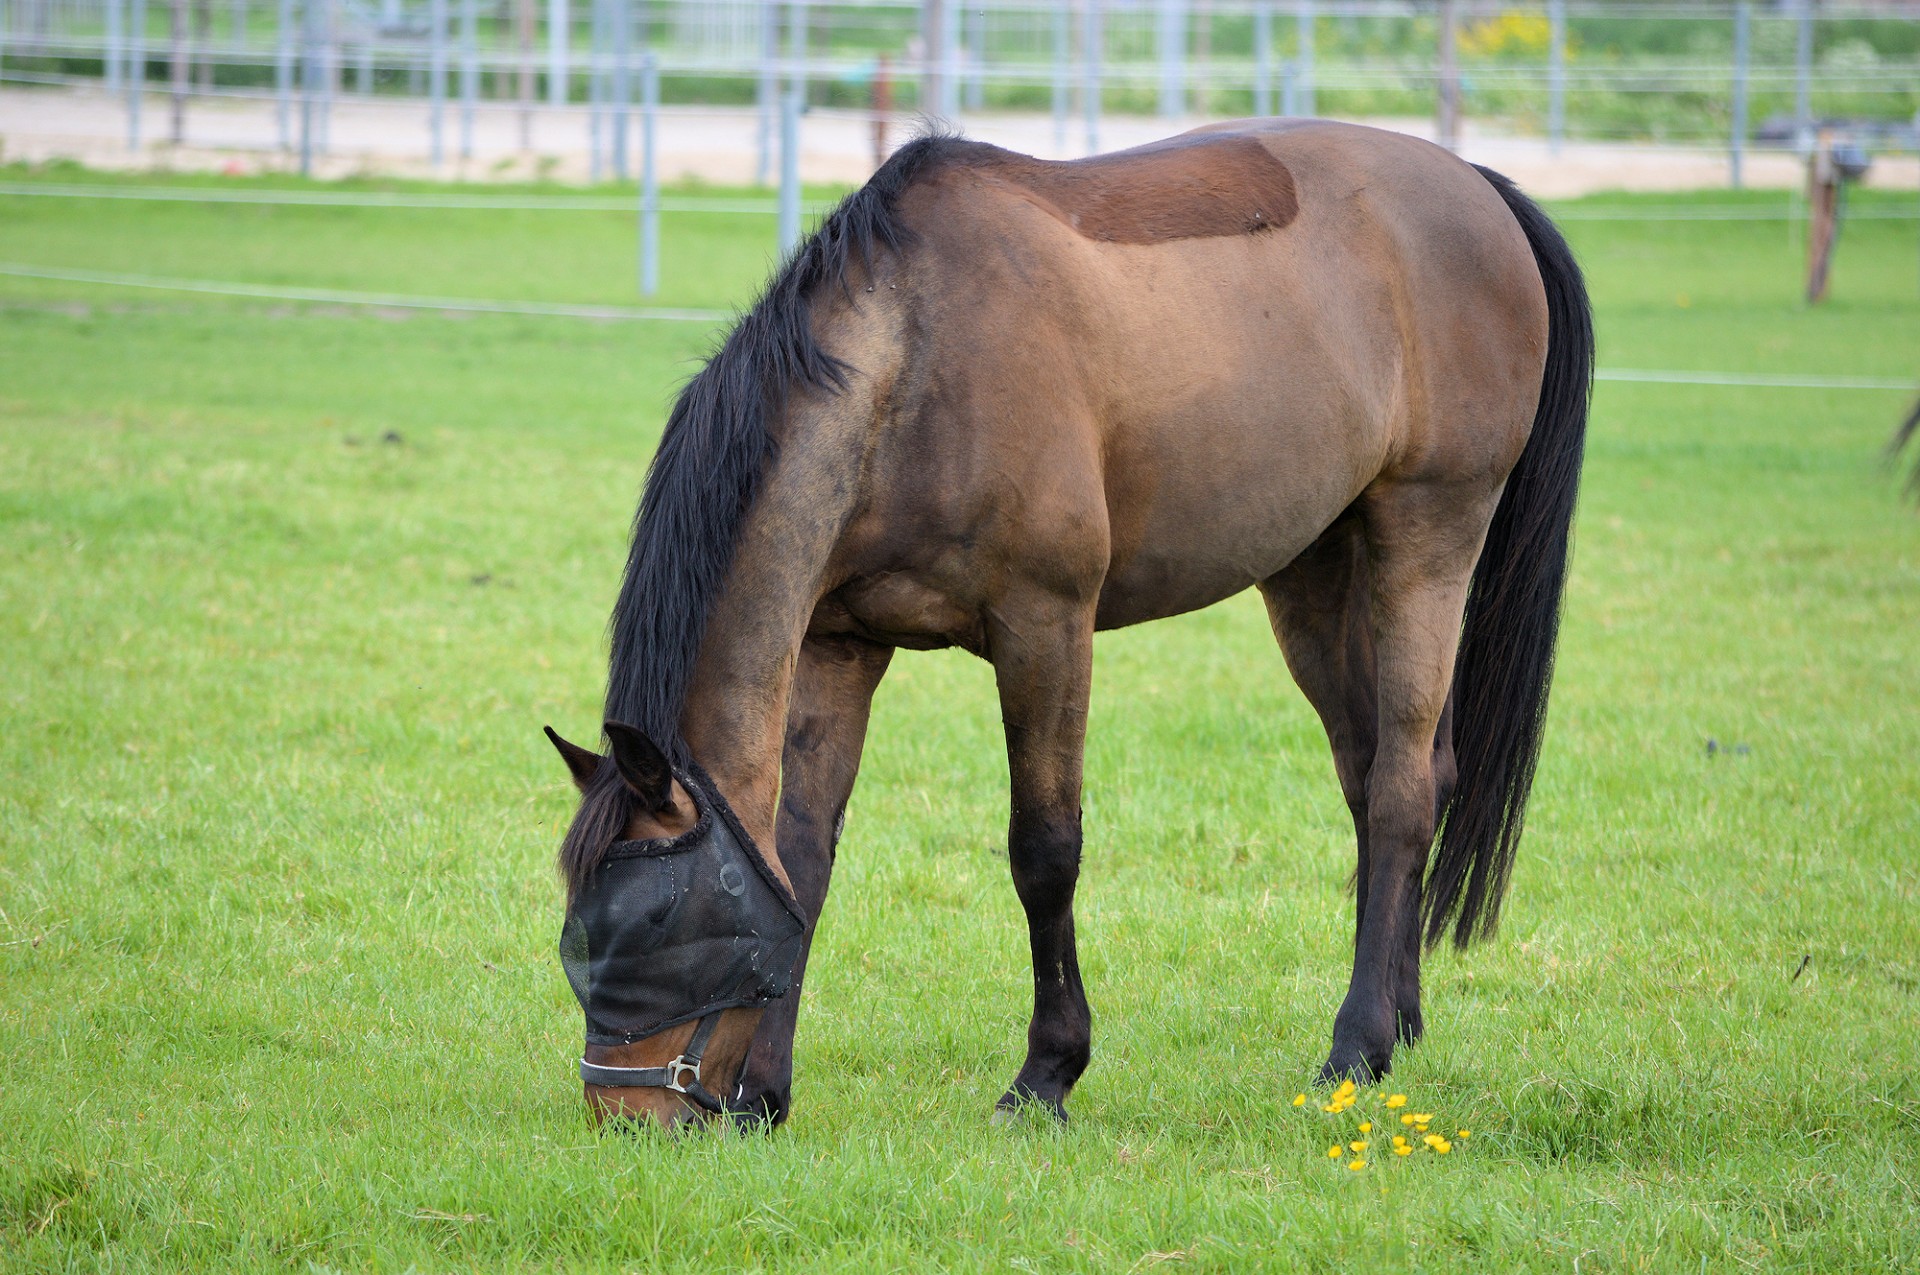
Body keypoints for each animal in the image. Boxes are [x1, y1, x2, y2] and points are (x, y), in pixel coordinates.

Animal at [541, 119, 1589, 1129]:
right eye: (577, 927)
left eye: (655, 922)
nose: (622, 1112)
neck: (912, 362)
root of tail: (1477, 185)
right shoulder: (841, 646)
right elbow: (801, 858)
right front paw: (764, 1090)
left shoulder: (1044, 625)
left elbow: (1045, 852)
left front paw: (1046, 1074)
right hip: (1315, 571)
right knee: (1381, 780)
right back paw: (1401, 1021)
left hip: (1429, 535)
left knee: (1405, 789)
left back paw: (1355, 1046)